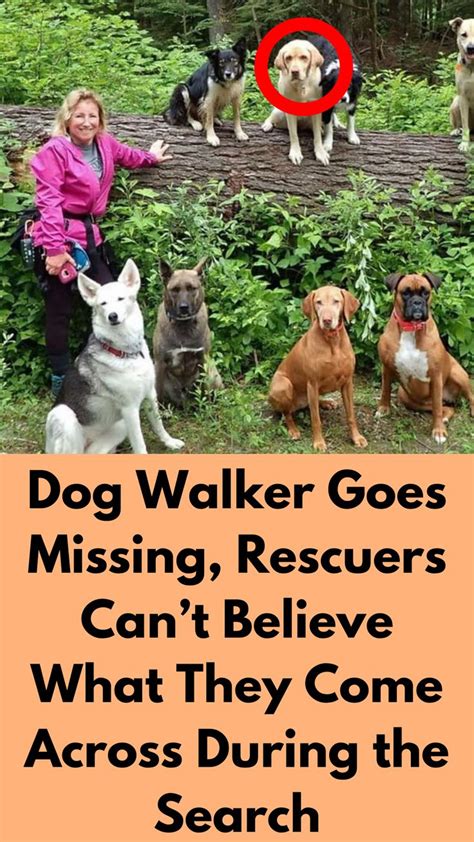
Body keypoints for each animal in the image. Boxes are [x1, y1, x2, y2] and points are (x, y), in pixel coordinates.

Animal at [45, 256, 185, 452]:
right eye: (103, 304)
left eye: (120, 299)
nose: (112, 316)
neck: (127, 352)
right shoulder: (130, 409)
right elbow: (140, 445)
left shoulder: (150, 395)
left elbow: (158, 425)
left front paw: (169, 442)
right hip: (64, 414)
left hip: (119, 427)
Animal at [154, 258, 224, 406]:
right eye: (175, 289)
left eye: (192, 288)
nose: (184, 307)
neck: (183, 326)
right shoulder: (160, 362)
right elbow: (158, 393)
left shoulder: (202, 358)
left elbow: (204, 388)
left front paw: (206, 408)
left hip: (212, 372)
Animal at [268, 286, 368, 450]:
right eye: (318, 302)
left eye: (336, 301)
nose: (327, 320)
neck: (332, 341)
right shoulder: (312, 383)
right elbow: (316, 419)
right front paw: (319, 442)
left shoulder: (347, 383)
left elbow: (351, 415)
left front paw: (356, 437)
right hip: (283, 385)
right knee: (286, 413)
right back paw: (293, 429)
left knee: (308, 404)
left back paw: (326, 403)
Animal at [376, 274, 472, 446]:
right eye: (405, 293)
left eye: (426, 292)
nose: (417, 302)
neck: (411, 329)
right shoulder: (386, 367)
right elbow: (385, 389)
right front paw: (383, 408)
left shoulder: (435, 376)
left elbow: (437, 409)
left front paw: (438, 431)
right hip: (407, 397)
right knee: (446, 408)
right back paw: (446, 417)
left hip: (459, 375)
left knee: (464, 399)